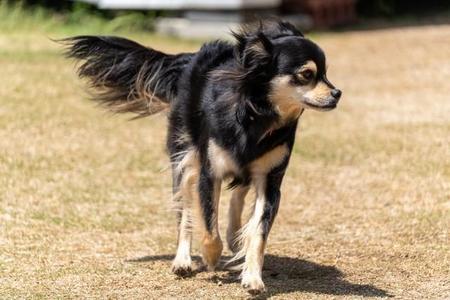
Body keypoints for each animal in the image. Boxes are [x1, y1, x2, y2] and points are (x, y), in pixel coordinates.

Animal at [62, 21, 342, 296]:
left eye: (325, 73)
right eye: (307, 74)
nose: (337, 93)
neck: (256, 116)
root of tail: (190, 58)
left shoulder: (270, 181)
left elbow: (258, 233)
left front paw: (252, 276)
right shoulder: (210, 173)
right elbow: (207, 223)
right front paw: (210, 256)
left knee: (239, 193)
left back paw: (233, 235)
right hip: (184, 158)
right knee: (186, 210)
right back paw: (183, 260)